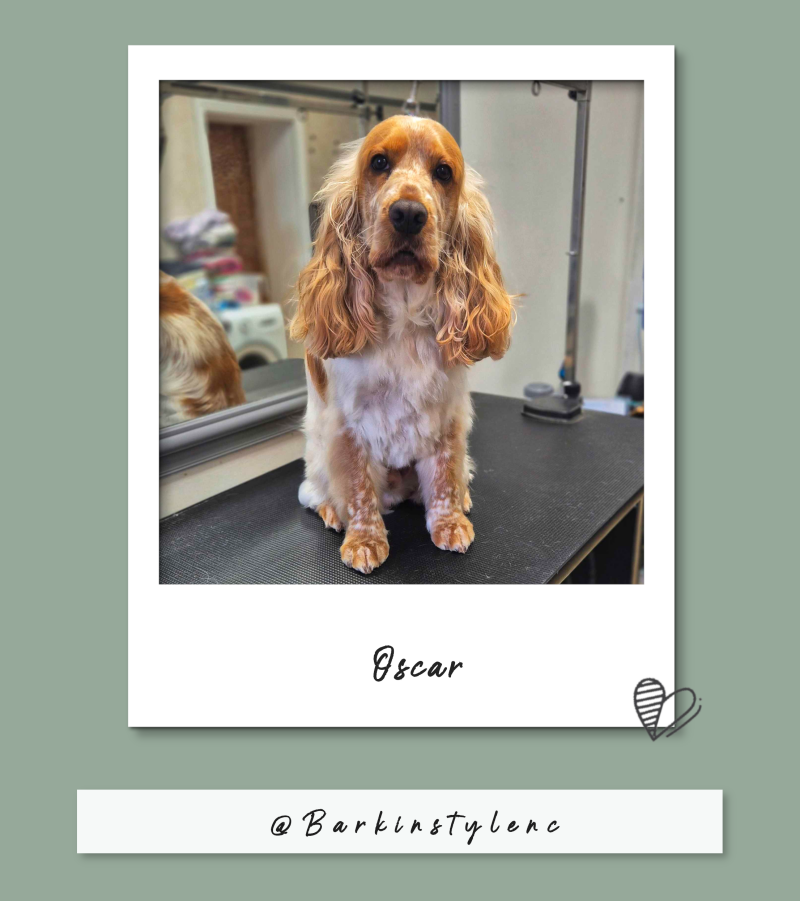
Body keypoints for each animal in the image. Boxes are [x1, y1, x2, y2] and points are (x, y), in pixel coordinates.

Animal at [291, 115, 514, 574]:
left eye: (443, 172)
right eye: (379, 163)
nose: (409, 213)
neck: (405, 316)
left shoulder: (448, 415)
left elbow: (444, 476)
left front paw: (449, 523)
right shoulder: (346, 425)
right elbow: (358, 487)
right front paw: (364, 540)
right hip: (317, 459)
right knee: (315, 493)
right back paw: (334, 512)